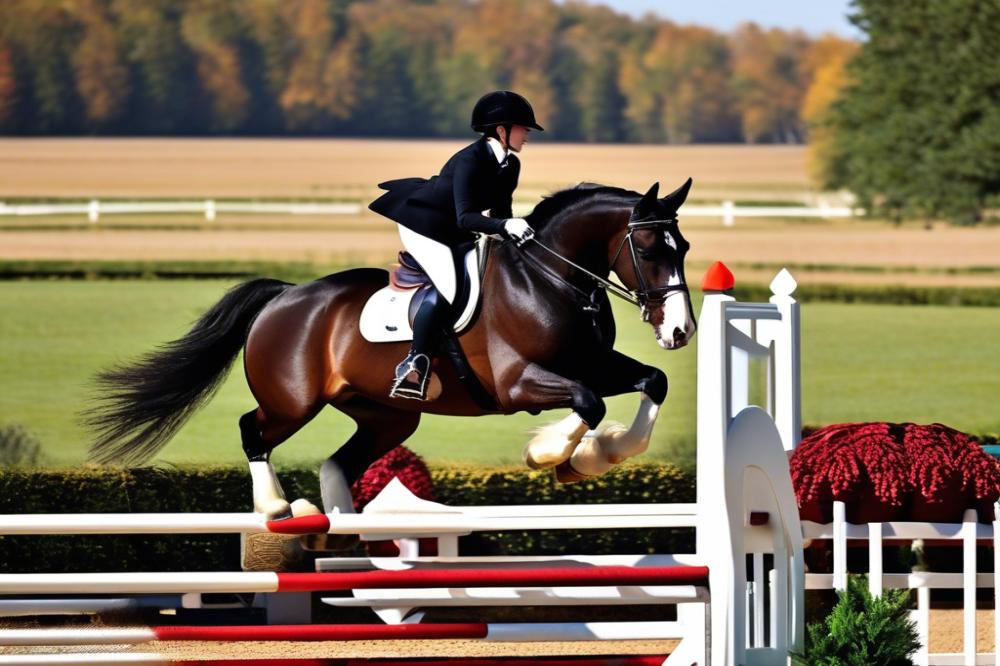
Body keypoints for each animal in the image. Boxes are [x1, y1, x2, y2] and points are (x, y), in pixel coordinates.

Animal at [84, 176, 696, 520]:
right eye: (647, 247)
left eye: (684, 246)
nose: (680, 331)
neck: (552, 278)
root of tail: (285, 296)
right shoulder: (519, 382)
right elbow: (589, 402)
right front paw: (552, 455)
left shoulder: (592, 363)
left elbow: (652, 381)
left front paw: (597, 455)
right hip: (292, 403)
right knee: (252, 431)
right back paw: (277, 506)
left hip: (387, 415)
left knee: (339, 460)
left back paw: (341, 523)